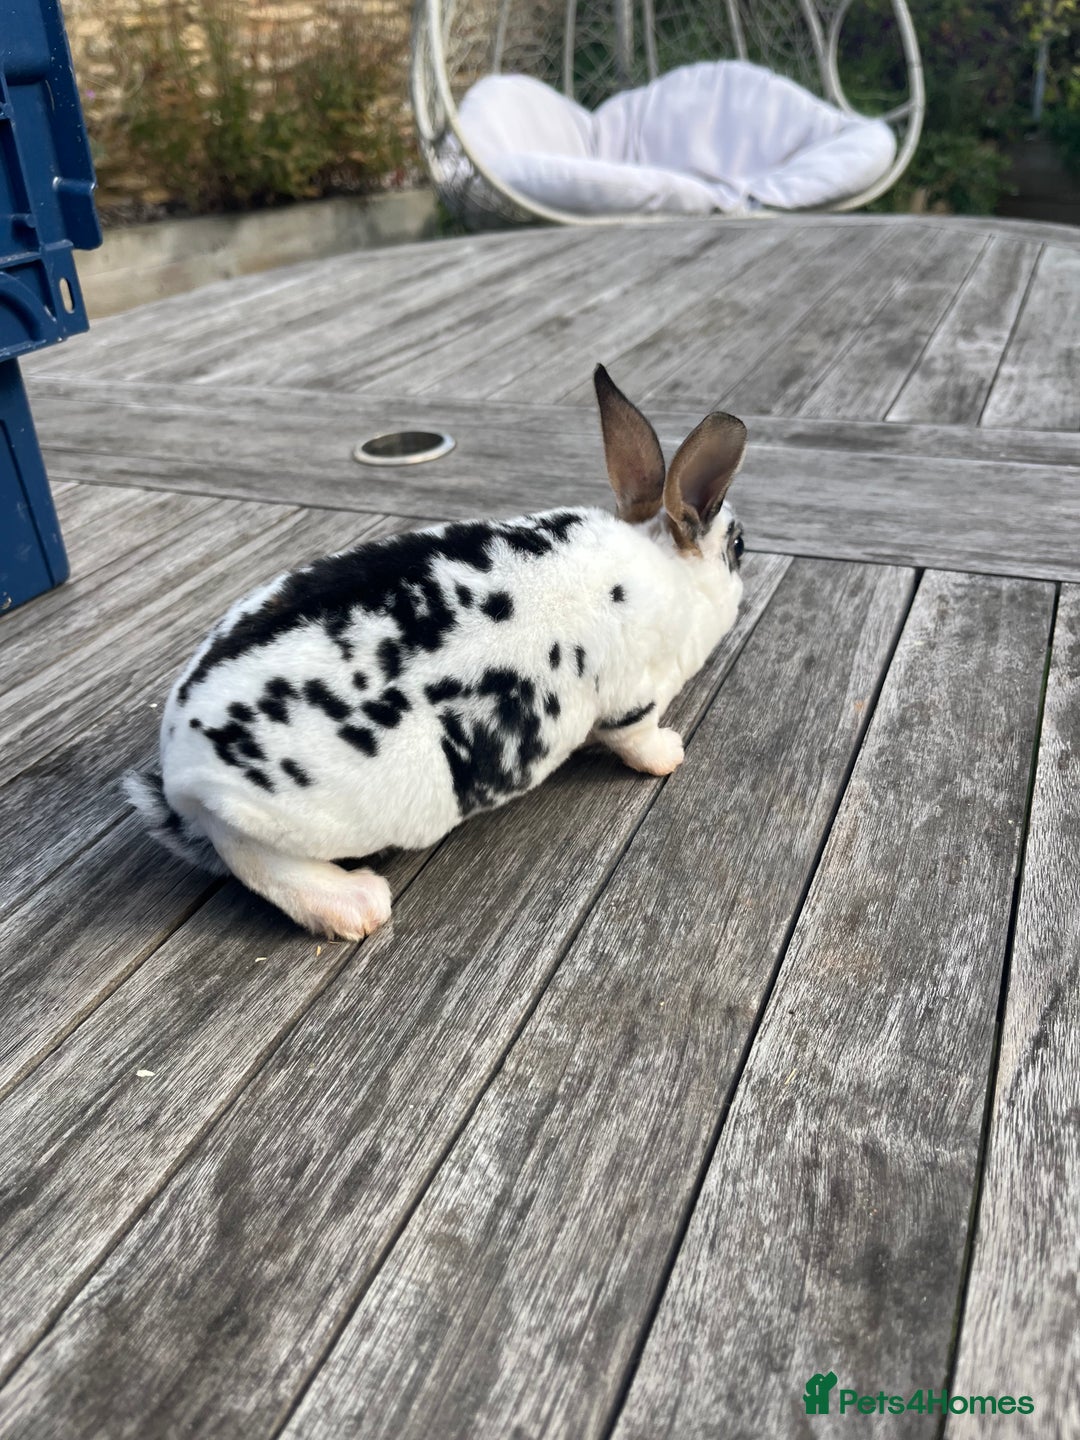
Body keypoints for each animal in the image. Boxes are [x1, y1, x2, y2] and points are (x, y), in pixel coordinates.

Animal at [124, 364, 748, 941]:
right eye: (739, 547)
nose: (744, 572)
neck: (666, 565)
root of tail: (182, 772)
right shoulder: (632, 702)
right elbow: (637, 741)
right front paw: (671, 754)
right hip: (274, 823)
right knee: (252, 857)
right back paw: (357, 905)